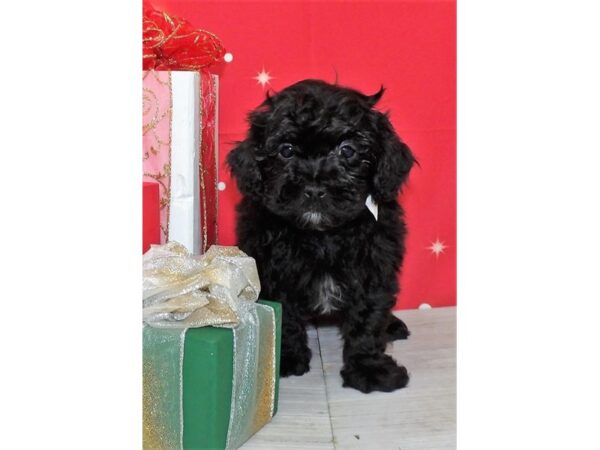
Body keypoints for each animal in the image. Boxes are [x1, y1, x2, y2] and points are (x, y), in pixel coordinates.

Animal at [227, 79, 414, 392]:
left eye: (347, 151)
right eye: (286, 150)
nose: (314, 189)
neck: (321, 235)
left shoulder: (373, 268)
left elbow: (368, 319)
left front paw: (369, 367)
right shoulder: (273, 269)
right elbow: (285, 316)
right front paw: (287, 357)